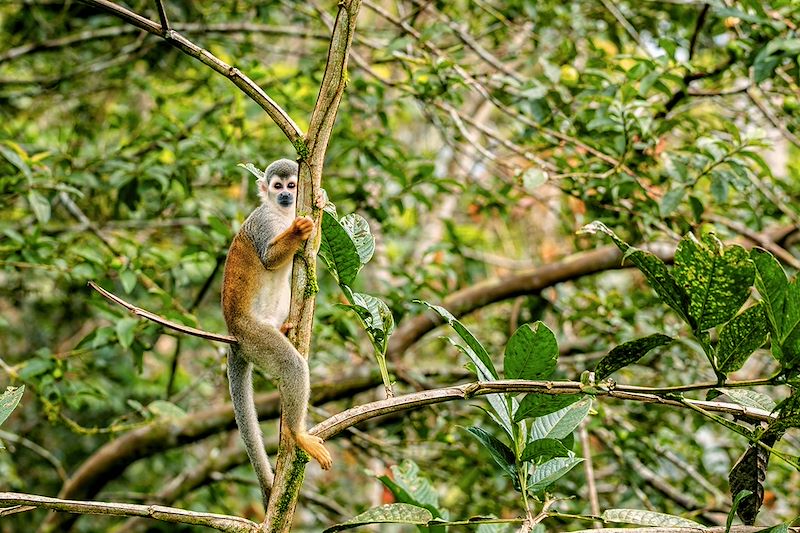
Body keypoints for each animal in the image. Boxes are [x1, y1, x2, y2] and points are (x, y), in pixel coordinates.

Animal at [220, 156, 330, 504]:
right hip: (253, 336)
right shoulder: (263, 221)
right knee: (291, 364)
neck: (281, 214)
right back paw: (296, 433)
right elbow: (269, 258)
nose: (284, 196)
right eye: (277, 186)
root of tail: (233, 334)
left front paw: (319, 201)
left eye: (292, 186)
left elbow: (310, 252)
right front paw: (297, 231)